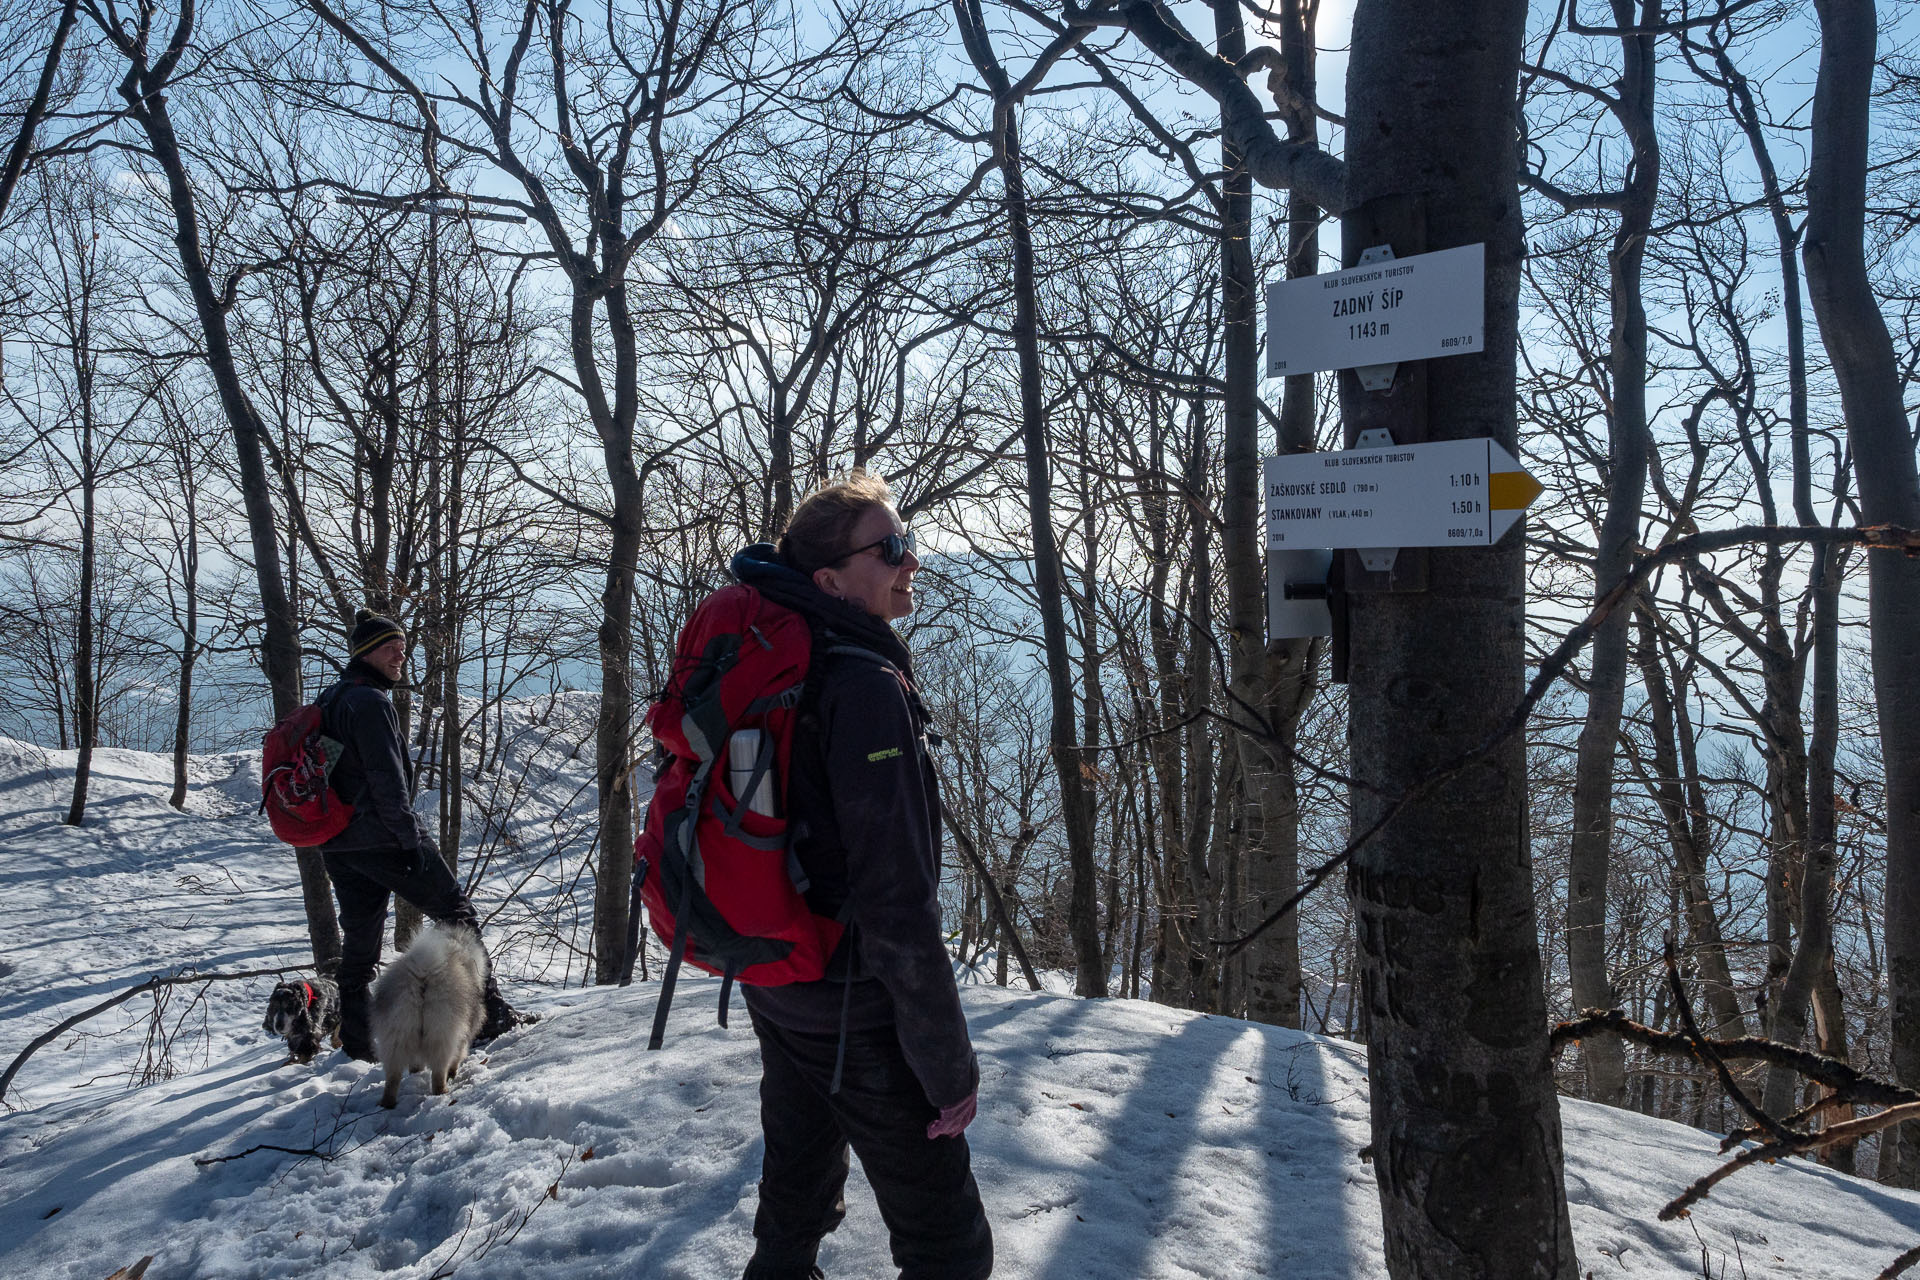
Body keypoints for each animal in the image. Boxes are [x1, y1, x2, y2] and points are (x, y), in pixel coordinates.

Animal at [366, 921, 487, 1113]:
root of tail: (424, 973)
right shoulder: (463, 1036)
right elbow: (459, 1055)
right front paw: (453, 1073)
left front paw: (416, 1071)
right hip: (442, 1033)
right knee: (439, 1071)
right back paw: (442, 1091)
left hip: (396, 1035)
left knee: (393, 1076)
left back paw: (388, 1102)